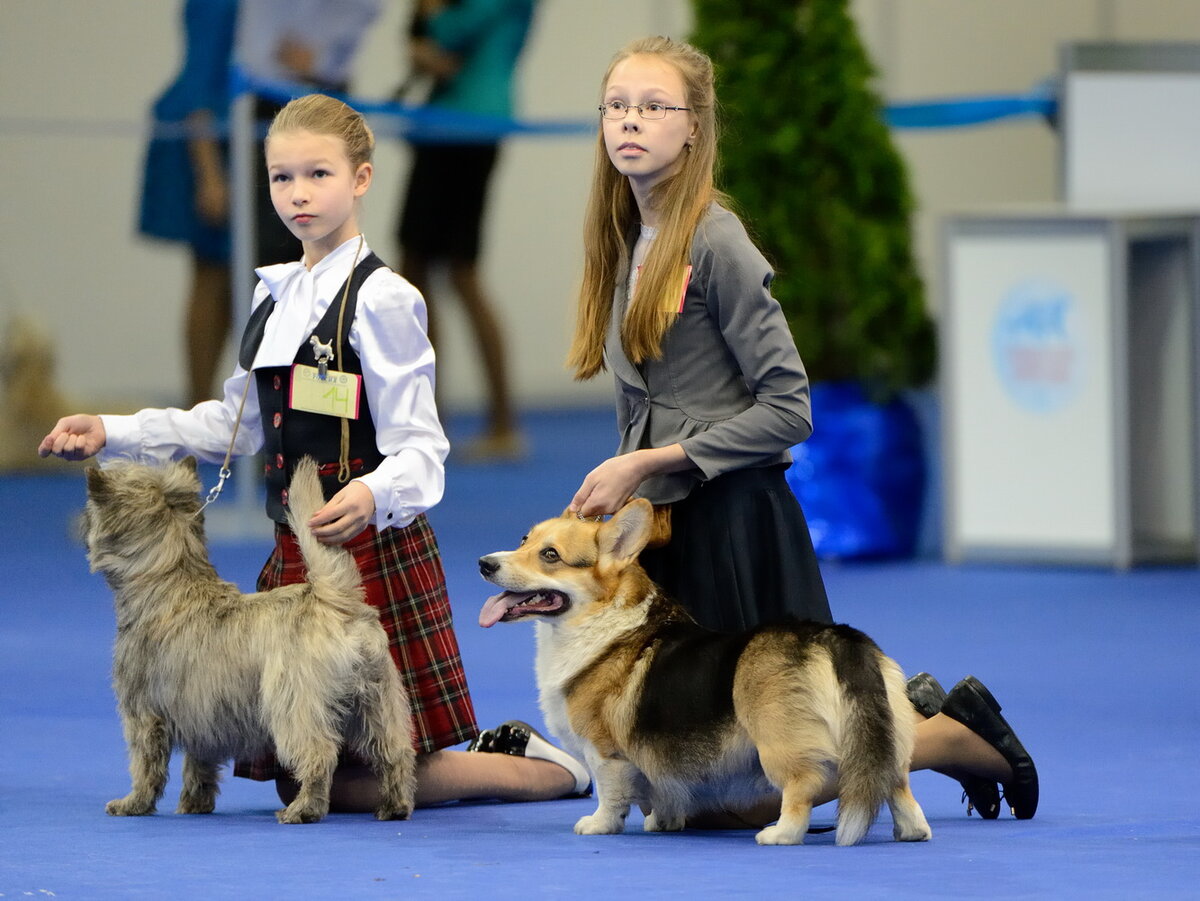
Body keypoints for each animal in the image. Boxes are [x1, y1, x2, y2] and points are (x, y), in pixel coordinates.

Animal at [85, 458, 417, 825]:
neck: (169, 580)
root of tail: (336, 600)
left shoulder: (142, 712)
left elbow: (145, 764)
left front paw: (133, 803)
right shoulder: (202, 715)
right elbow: (199, 765)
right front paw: (194, 803)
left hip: (294, 705)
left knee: (318, 752)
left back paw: (302, 809)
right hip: (377, 701)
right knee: (394, 750)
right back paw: (394, 806)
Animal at [482, 501, 931, 844]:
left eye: (550, 555)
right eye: (524, 540)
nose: (484, 563)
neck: (598, 620)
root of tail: (835, 637)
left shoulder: (605, 752)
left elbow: (611, 795)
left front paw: (598, 826)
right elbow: (660, 795)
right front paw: (663, 824)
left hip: (779, 742)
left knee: (804, 784)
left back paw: (780, 834)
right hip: (882, 737)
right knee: (896, 783)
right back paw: (911, 831)